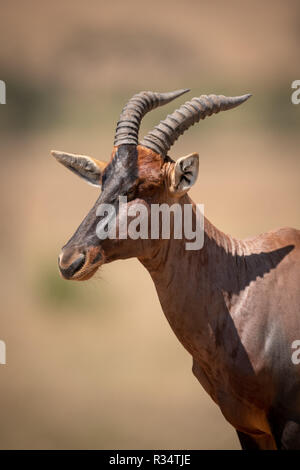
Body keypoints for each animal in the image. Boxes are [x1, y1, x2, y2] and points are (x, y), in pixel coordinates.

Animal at [52, 90, 300, 450]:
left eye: (146, 186)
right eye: (103, 181)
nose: (70, 260)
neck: (241, 281)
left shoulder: (289, 425)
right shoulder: (249, 430)